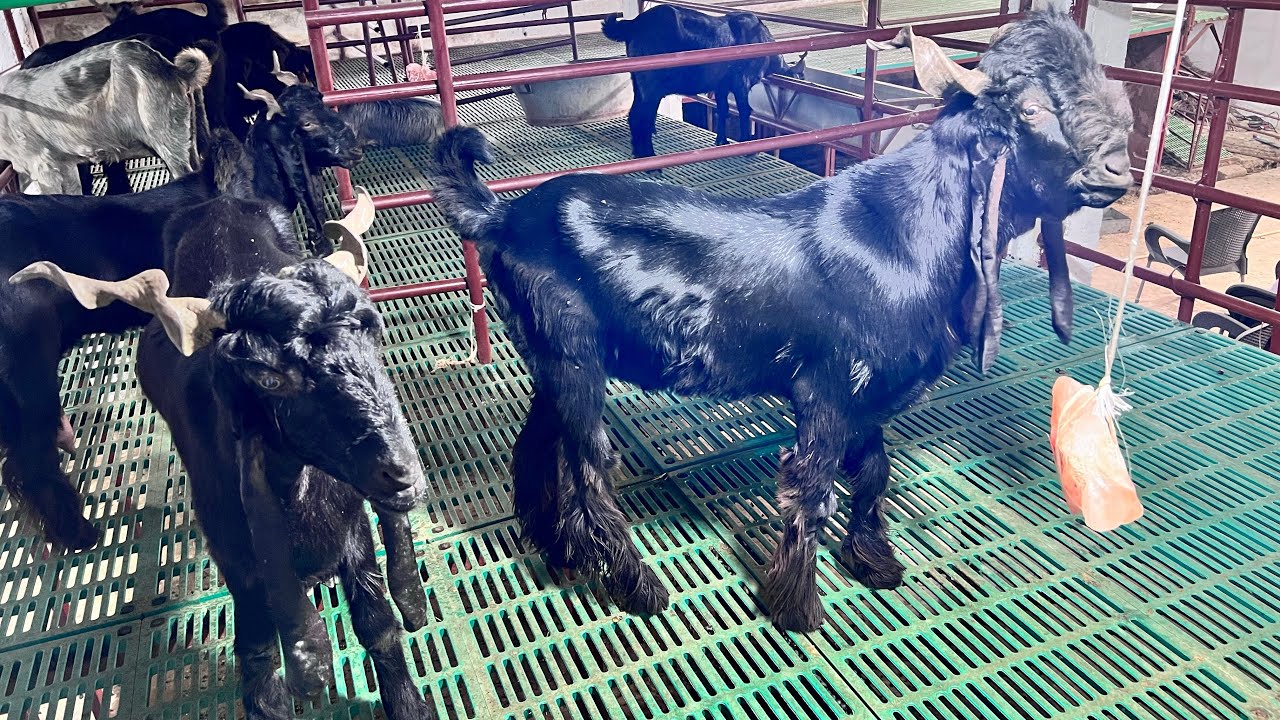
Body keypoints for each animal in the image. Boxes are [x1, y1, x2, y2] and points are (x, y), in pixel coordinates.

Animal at [11, 178, 433, 720]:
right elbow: (258, 658)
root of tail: (221, 200)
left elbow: (378, 623)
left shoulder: (355, 528)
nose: (402, 473)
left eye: (373, 338)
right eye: (269, 377)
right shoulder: (240, 561)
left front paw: (410, 705)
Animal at [602, 6, 804, 158]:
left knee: (636, 114)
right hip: (651, 88)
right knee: (639, 116)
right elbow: (745, 110)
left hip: (638, 83)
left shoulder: (721, 87)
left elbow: (723, 110)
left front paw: (721, 141)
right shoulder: (741, 83)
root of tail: (635, 24)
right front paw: (747, 145)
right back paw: (647, 156)